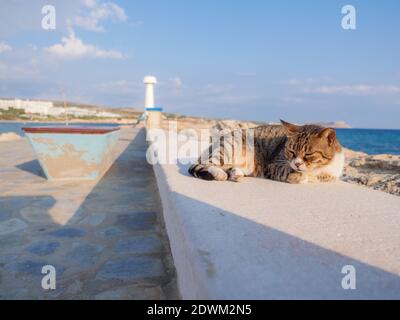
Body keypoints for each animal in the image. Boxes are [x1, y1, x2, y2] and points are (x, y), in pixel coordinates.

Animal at [189, 119, 346, 184]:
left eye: (308, 154)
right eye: (291, 151)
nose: (296, 163)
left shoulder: (333, 173)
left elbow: (323, 177)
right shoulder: (273, 166)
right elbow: (291, 173)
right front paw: (298, 176)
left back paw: (235, 174)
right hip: (228, 147)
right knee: (207, 164)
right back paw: (220, 174)